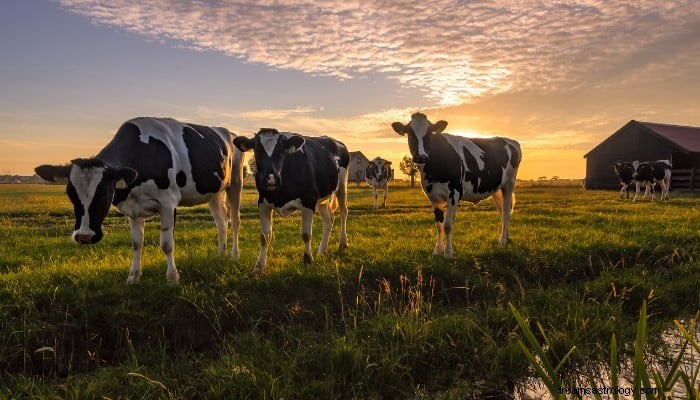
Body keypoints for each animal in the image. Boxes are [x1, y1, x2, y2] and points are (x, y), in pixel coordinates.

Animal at [34, 116, 245, 284]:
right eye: (70, 193)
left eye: (103, 192)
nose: (84, 236)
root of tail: (228, 131)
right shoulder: (133, 208)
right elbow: (136, 243)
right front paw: (133, 277)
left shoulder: (168, 202)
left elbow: (167, 243)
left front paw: (172, 278)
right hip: (214, 192)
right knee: (221, 222)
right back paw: (220, 254)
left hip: (235, 183)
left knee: (234, 220)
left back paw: (234, 256)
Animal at [232, 128, 350, 272]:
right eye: (257, 151)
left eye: (281, 152)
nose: (271, 179)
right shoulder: (263, 203)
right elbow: (264, 236)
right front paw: (259, 266)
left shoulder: (308, 201)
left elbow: (306, 234)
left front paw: (308, 260)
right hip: (323, 198)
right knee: (328, 220)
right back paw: (322, 251)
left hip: (342, 185)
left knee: (343, 212)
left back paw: (343, 243)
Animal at [392, 111, 524, 260]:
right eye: (409, 133)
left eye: (430, 133)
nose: (421, 156)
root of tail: (510, 141)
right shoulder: (433, 197)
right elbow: (439, 225)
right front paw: (437, 250)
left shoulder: (454, 193)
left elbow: (448, 225)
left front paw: (448, 253)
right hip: (497, 189)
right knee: (502, 212)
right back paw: (506, 238)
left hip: (509, 184)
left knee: (506, 212)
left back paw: (502, 241)